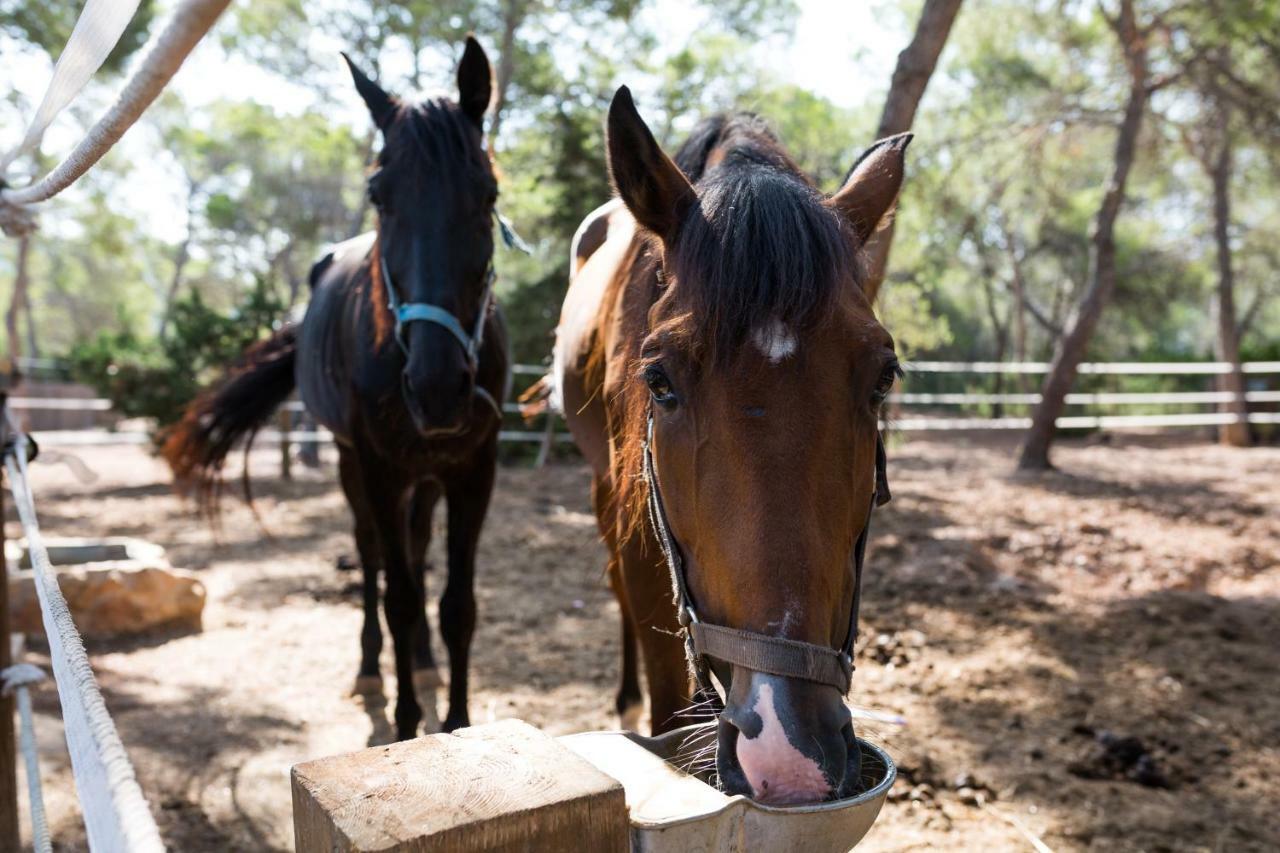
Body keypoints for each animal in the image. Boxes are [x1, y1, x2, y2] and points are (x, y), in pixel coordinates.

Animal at [166, 38, 509, 737]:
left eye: (486, 191)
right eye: (379, 194)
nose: (437, 389)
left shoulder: (473, 470)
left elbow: (456, 604)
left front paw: (457, 722)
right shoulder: (378, 467)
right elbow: (398, 596)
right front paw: (406, 724)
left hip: (423, 476)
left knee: (416, 548)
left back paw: (423, 663)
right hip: (357, 467)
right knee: (374, 556)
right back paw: (372, 668)